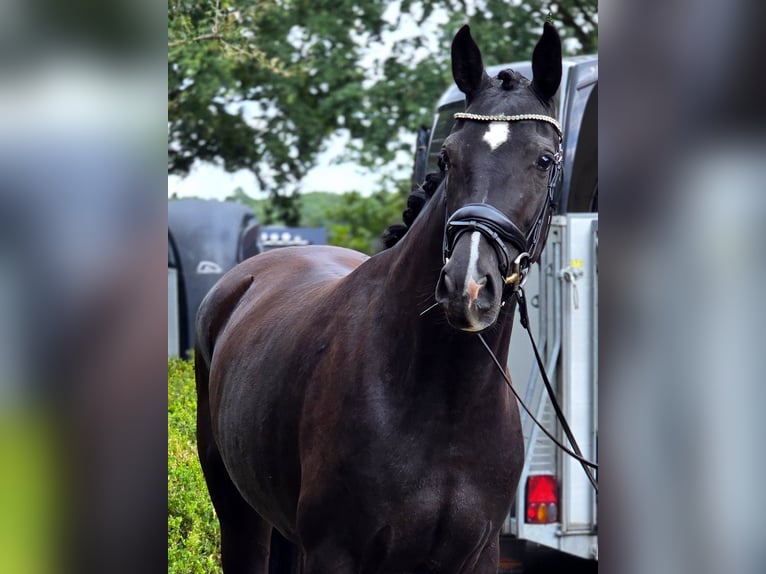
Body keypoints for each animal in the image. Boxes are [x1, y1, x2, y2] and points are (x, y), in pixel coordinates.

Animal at [195, 22, 563, 574]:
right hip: (240, 512)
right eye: (448, 157)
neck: (442, 403)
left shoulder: (478, 555)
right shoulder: (333, 553)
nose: (468, 288)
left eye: (543, 160)